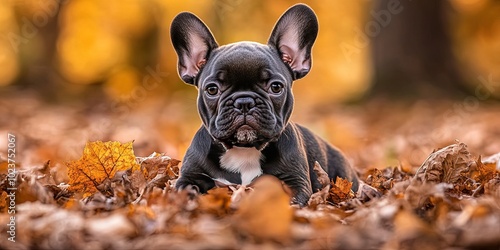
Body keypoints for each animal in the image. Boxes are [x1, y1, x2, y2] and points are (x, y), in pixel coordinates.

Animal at [172, 3, 360, 206]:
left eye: (275, 87)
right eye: (212, 89)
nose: (244, 102)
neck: (244, 151)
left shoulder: (296, 181)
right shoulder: (190, 176)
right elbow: (186, 188)